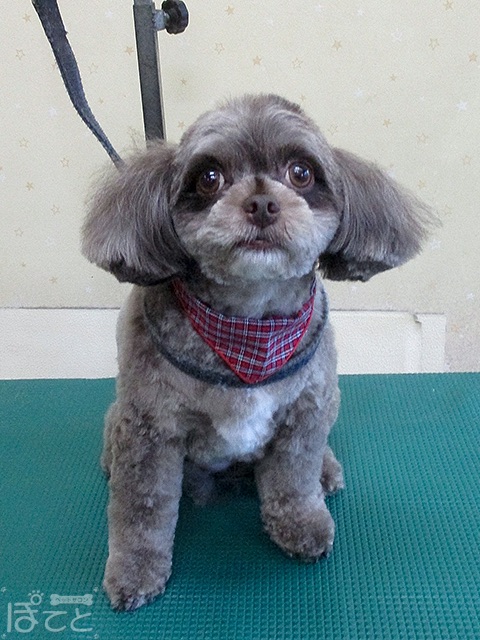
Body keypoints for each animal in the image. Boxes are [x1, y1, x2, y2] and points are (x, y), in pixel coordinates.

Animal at [82, 94, 433, 610]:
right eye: (210, 178)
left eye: (301, 173)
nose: (263, 203)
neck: (250, 326)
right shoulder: (150, 431)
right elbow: (142, 509)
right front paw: (135, 570)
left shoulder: (305, 412)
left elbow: (293, 479)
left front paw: (303, 525)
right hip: (123, 417)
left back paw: (327, 469)